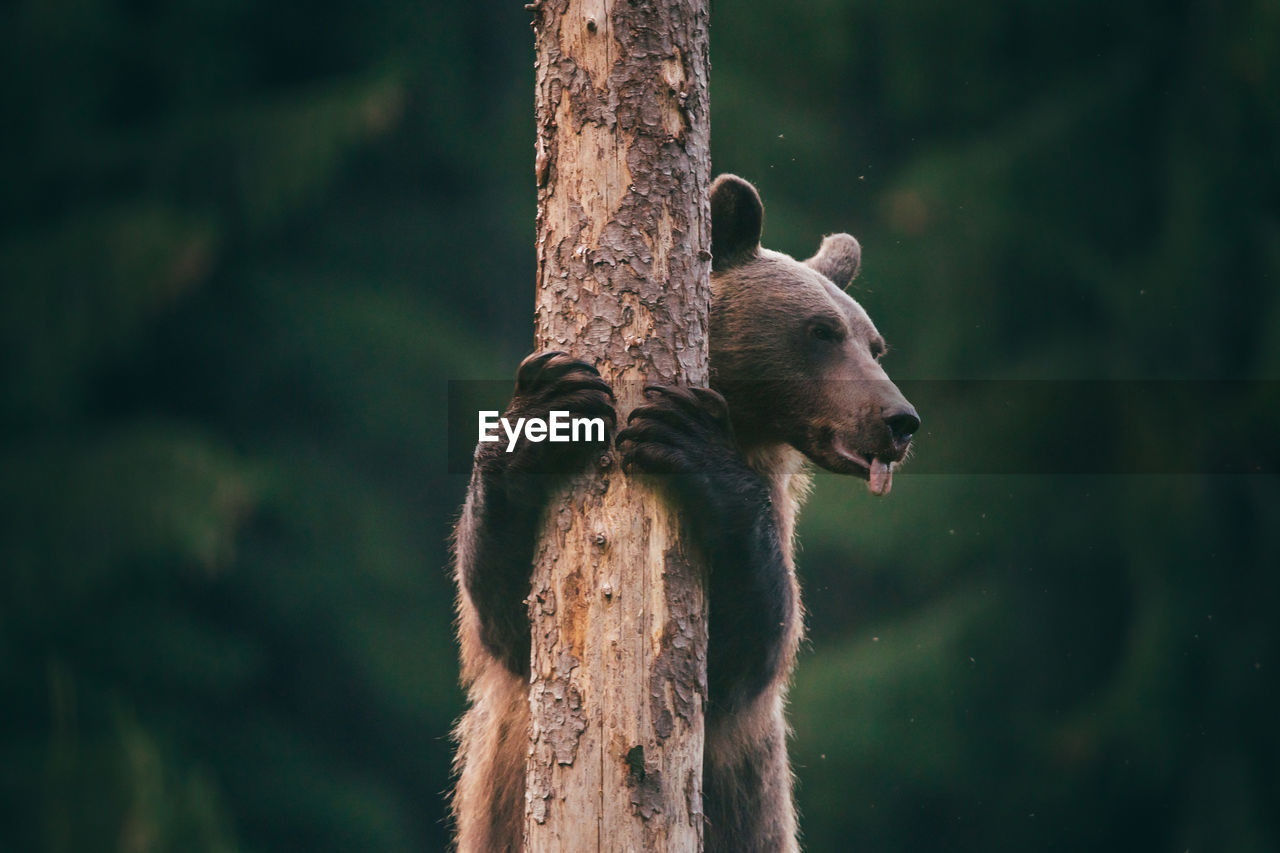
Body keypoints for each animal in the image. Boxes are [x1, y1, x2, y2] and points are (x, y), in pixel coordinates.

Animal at [450, 174, 921, 850]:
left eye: (874, 343)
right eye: (822, 332)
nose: (899, 420)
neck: (746, 421)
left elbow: (751, 646)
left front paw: (683, 434)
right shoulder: (509, 661)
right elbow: (502, 614)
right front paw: (554, 401)